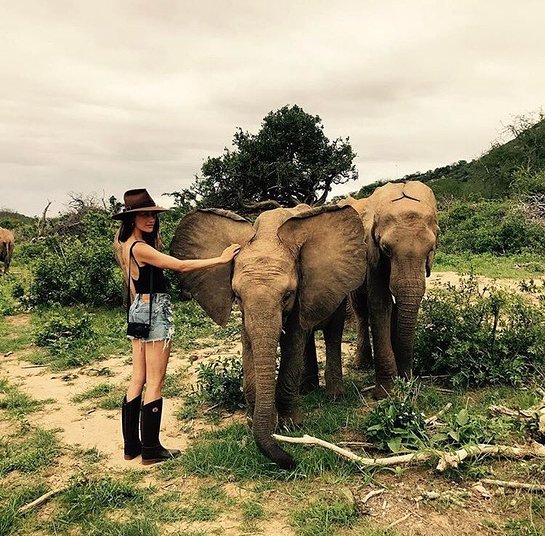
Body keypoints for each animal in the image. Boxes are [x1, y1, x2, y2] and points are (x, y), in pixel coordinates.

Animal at [170, 205, 366, 468]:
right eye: (237, 296)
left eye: (287, 295)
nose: (292, 460)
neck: (268, 235)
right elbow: (249, 345)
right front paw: (254, 423)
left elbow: (293, 341)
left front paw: (292, 425)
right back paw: (307, 389)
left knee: (332, 333)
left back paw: (334, 396)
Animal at [342, 182, 440, 396]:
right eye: (386, 249)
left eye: (431, 249)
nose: (408, 379)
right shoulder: (371, 252)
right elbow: (380, 305)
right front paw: (386, 392)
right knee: (361, 309)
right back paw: (361, 364)